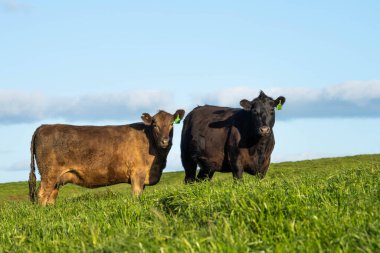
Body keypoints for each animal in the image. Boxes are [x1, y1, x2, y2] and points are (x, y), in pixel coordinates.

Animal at [28, 109, 186, 205]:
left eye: (171, 124)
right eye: (155, 125)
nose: (165, 141)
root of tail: (43, 126)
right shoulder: (137, 173)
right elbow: (136, 195)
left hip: (57, 178)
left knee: (51, 198)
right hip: (49, 174)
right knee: (41, 194)